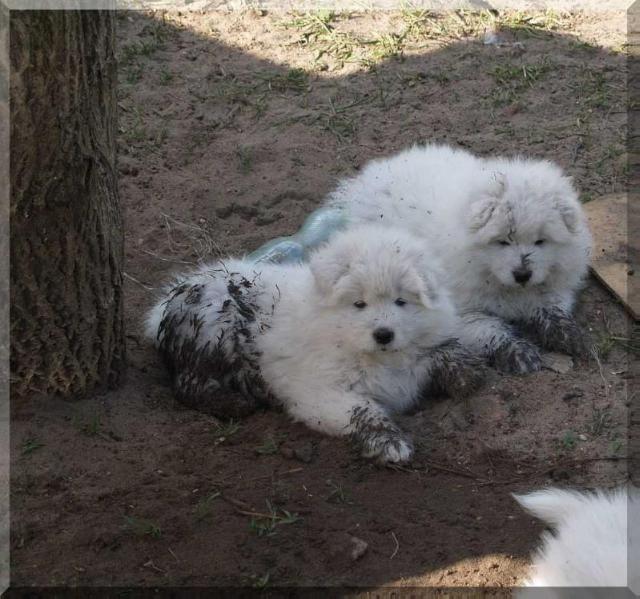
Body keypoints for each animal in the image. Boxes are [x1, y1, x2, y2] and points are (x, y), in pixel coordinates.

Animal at [145, 225, 484, 464]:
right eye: (359, 304)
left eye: (401, 301)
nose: (384, 334)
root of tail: (165, 305)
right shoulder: (318, 393)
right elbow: (363, 408)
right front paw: (389, 442)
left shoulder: (420, 353)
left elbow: (444, 348)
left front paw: (467, 375)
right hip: (213, 325)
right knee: (190, 384)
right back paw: (234, 403)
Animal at [328, 143, 592, 372]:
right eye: (502, 241)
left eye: (541, 241)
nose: (522, 275)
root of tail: (367, 177)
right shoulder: (462, 314)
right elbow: (491, 330)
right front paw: (520, 354)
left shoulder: (555, 287)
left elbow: (550, 308)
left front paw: (569, 335)